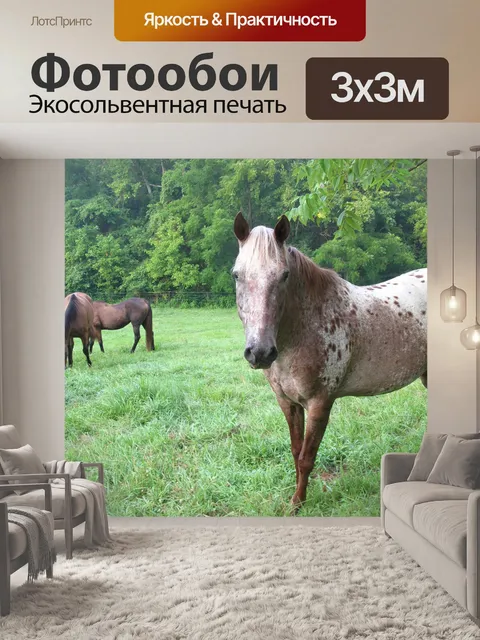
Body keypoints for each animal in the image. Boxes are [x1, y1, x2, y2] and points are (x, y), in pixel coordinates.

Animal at [232, 212, 427, 511]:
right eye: (236, 275)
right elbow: (295, 451)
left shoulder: (319, 404)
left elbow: (306, 458)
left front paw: (298, 503)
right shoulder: (288, 403)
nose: (260, 352)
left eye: (284, 275)